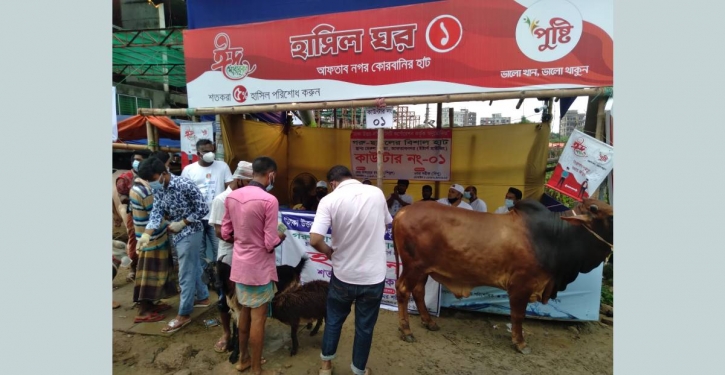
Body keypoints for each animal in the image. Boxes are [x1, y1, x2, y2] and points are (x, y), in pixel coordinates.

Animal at [394, 198, 612, 354]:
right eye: (610, 218)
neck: (556, 236)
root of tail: (403, 212)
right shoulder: (521, 285)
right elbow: (518, 315)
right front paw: (520, 343)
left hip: (423, 270)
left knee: (419, 292)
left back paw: (429, 322)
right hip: (414, 267)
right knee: (403, 290)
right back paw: (406, 331)